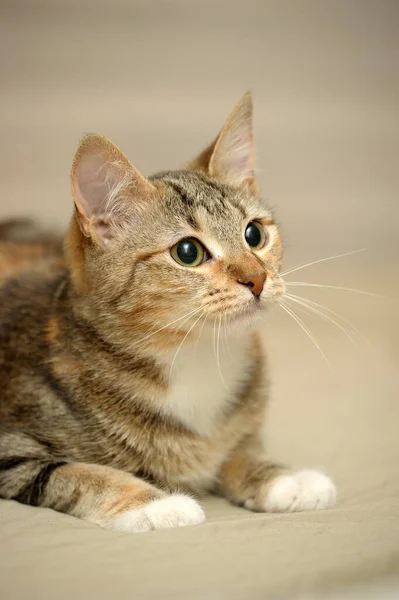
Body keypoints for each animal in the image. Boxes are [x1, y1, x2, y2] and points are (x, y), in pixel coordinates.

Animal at [0, 91, 338, 532]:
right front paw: (152, 504)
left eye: (254, 234)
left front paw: (283, 478)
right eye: (188, 252)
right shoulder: (9, 444)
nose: (257, 279)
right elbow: (71, 472)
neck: (194, 354)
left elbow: (240, 450)